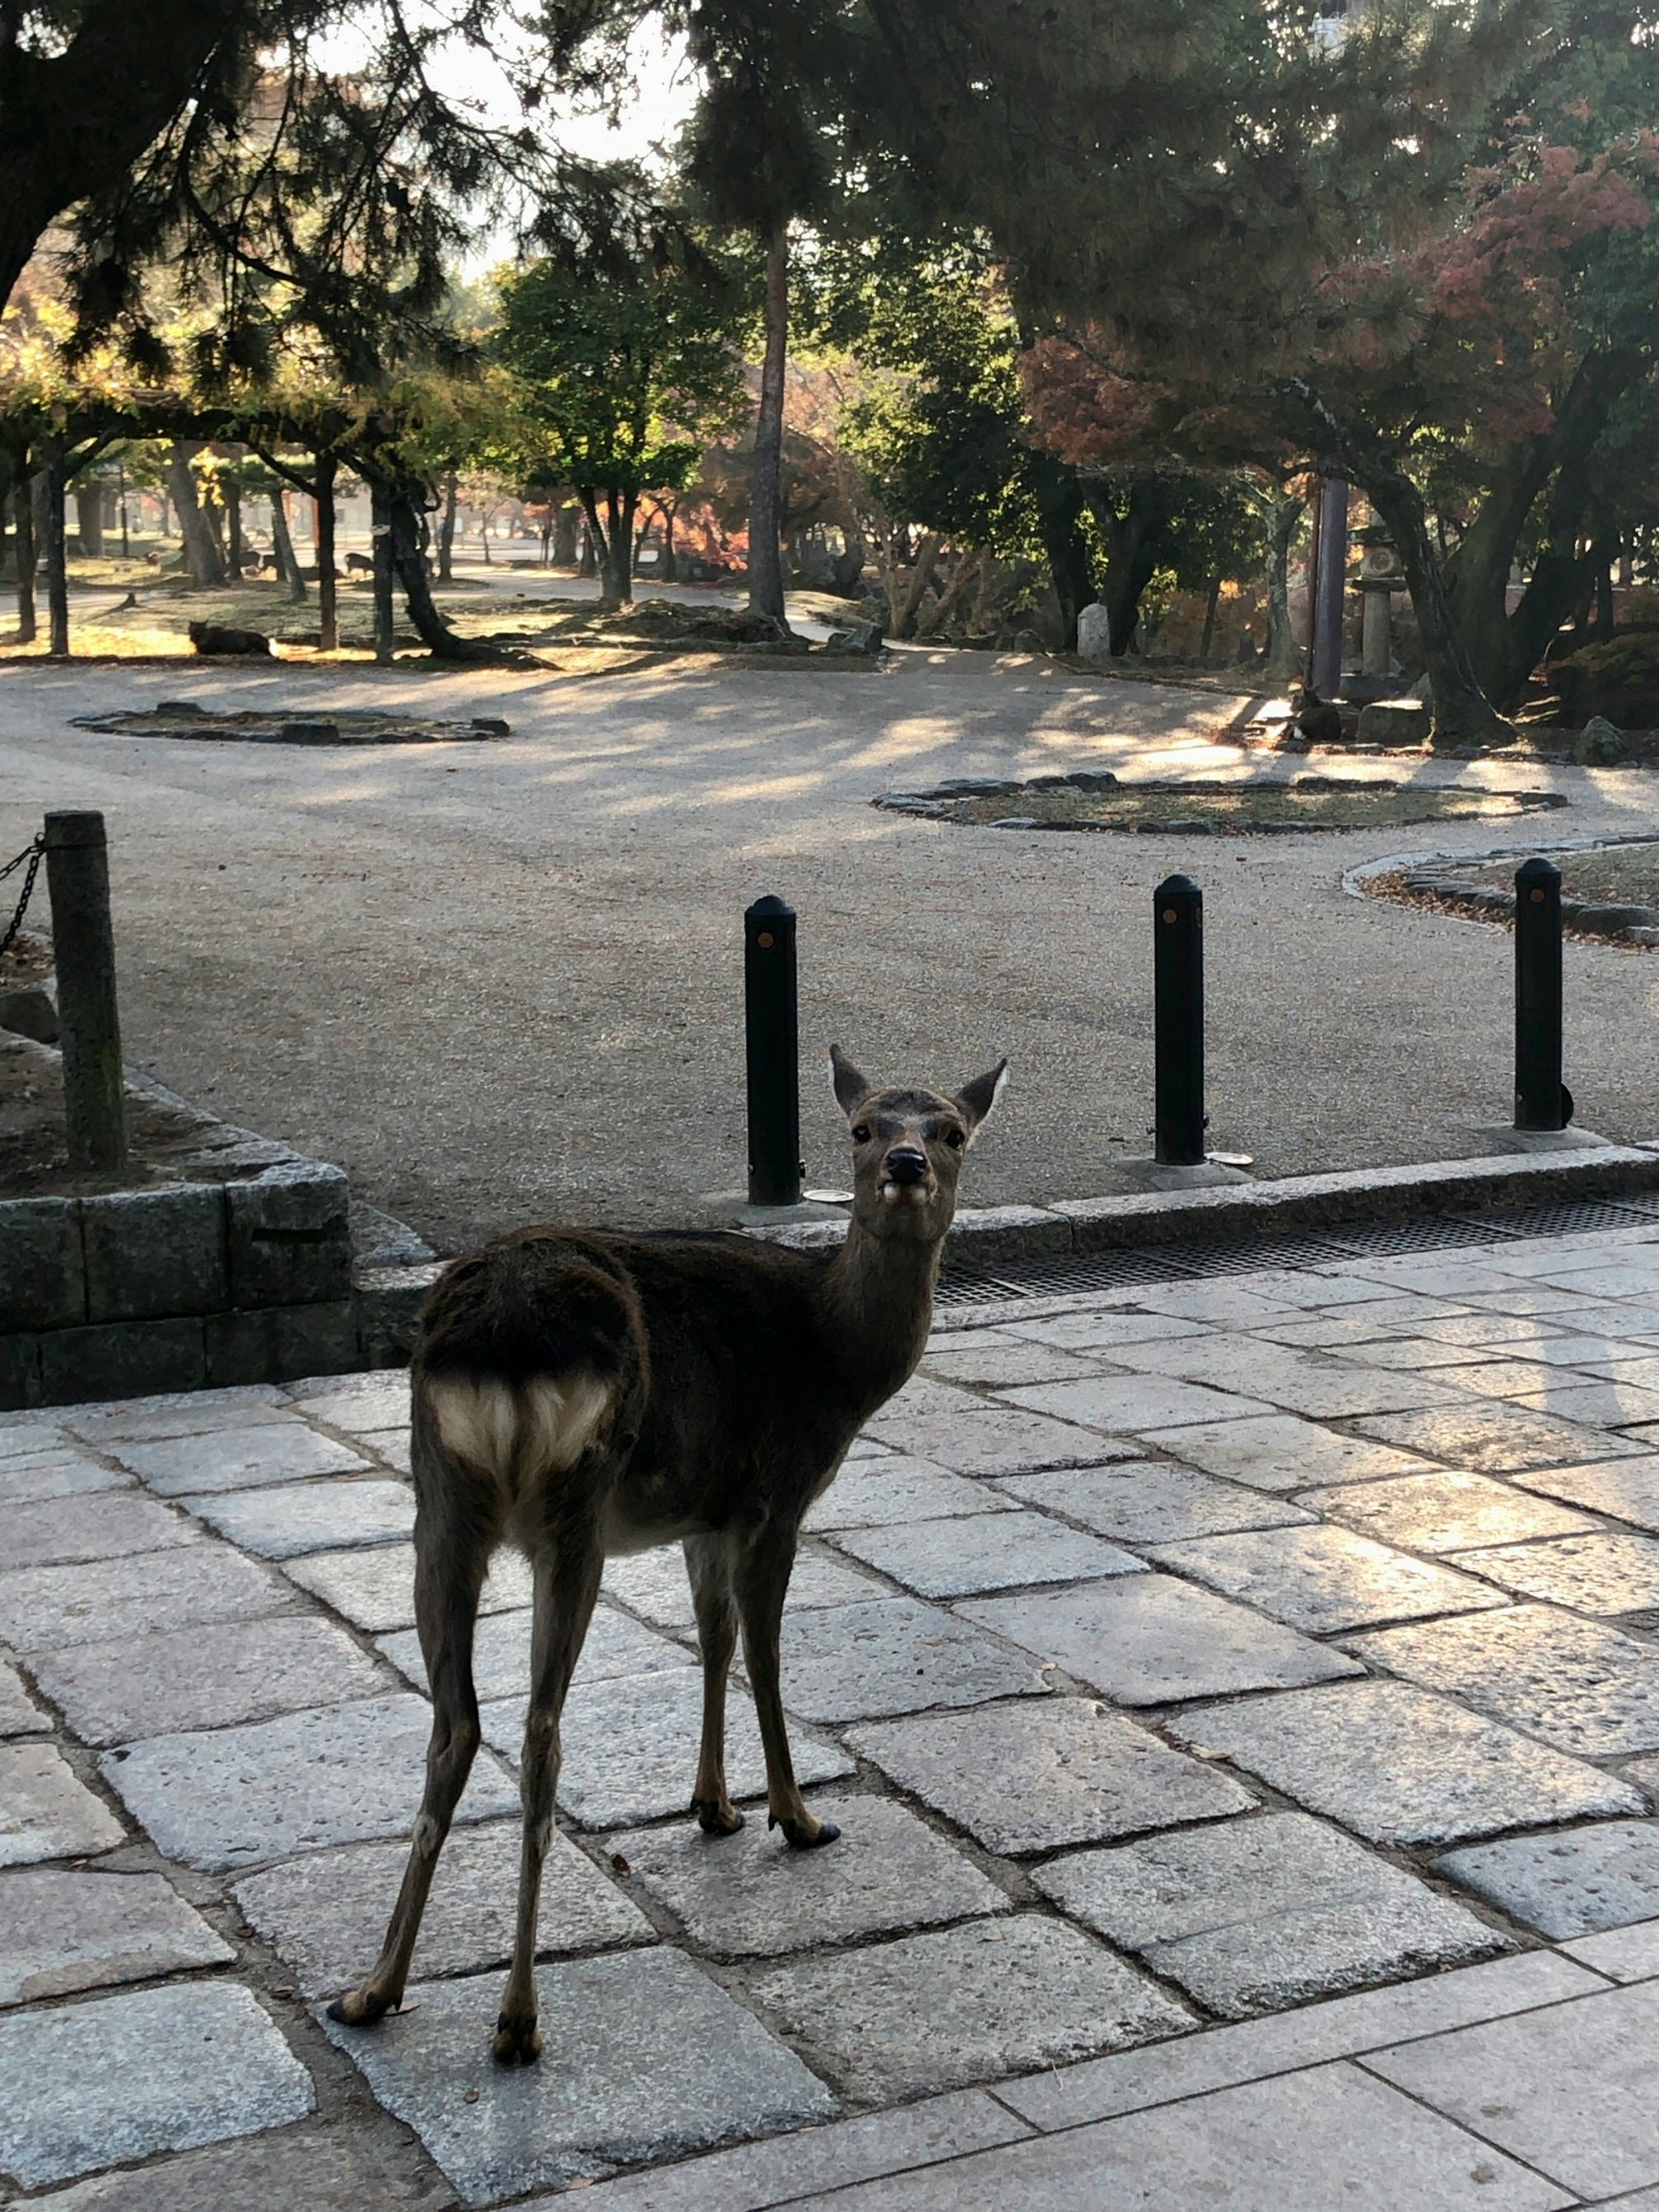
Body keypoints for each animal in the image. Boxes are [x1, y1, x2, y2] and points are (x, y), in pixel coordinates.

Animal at [327, 1044, 1006, 2063]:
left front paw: (714, 1805)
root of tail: (498, 1337)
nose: (904, 1164)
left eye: (950, 1130)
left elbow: (711, 1640)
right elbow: (764, 1651)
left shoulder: (700, 1511)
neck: (838, 1360)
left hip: (437, 1499)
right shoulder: (774, 1494)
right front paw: (796, 1815)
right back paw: (517, 2017)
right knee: (539, 1729)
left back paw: (373, 1988)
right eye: (859, 1126)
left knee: (454, 1722)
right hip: (573, 1511)